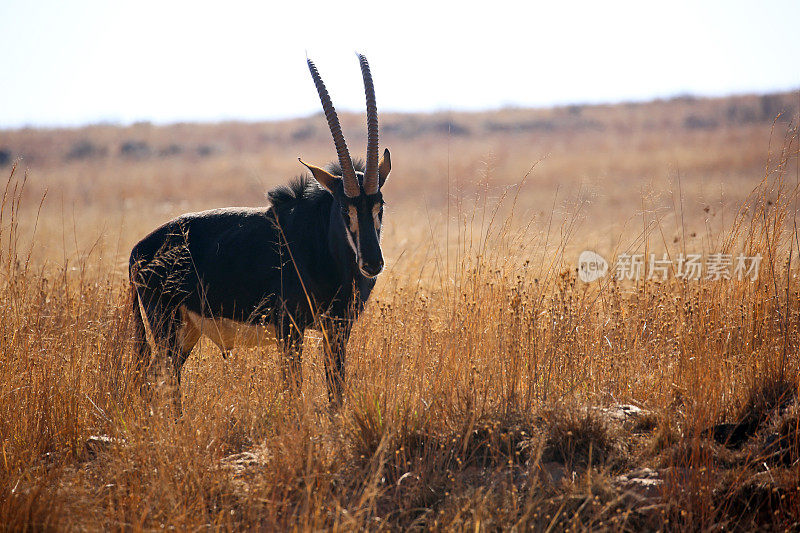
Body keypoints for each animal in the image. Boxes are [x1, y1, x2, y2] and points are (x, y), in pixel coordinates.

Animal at [130, 55, 392, 404]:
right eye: (342, 207)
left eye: (379, 205)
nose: (372, 264)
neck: (324, 247)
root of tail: (140, 250)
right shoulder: (290, 329)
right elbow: (293, 389)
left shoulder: (337, 329)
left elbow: (336, 391)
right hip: (166, 327)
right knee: (159, 380)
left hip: (187, 330)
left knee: (167, 379)